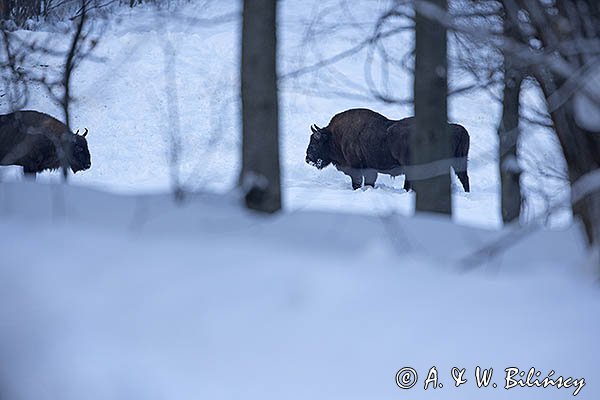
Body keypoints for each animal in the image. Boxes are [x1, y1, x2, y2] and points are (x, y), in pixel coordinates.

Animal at [308, 108, 472, 191]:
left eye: (315, 142)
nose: (307, 158)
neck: (336, 136)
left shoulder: (357, 168)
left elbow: (358, 182)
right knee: (464, 178)